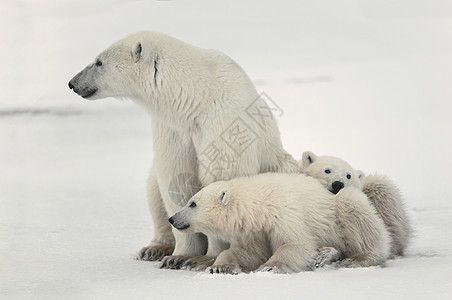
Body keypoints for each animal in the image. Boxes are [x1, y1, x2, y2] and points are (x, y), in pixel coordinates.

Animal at [68, 31, 300, 270]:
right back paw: (154, 249)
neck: (197, 99)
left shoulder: (224, 123)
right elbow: (177, 181)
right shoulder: (173, 130)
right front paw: (178, 256)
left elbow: (219, 182)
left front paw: (203, 258)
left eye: (99, 62)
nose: (72, 83)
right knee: (154, 194)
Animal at [168, 172, 390, 274]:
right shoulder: (253, 230)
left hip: (338, 208)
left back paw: (357, 258)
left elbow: (295, 244)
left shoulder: (284, 214)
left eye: (192, 203)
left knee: (356, 211)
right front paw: (219, 267)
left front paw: (269, 267)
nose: (172, 219)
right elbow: (247, 252)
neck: (260, 206)